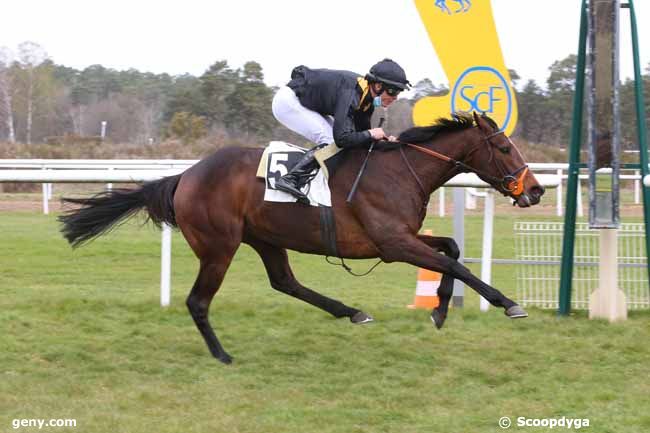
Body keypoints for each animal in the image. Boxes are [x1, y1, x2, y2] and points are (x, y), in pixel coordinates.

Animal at [60, 110, 544, 362]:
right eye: (504, 148)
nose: (536, 190)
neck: (401, 170)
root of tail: (185, 176)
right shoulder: (392, 244)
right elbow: (451, 262)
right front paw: (507, 303)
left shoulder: (403, 238)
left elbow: (451, 251)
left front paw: (440, 310)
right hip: (219, 247)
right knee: (198, 301)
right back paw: (222, 355)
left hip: (265, 238)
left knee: (285, 282)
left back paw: (351, 311)